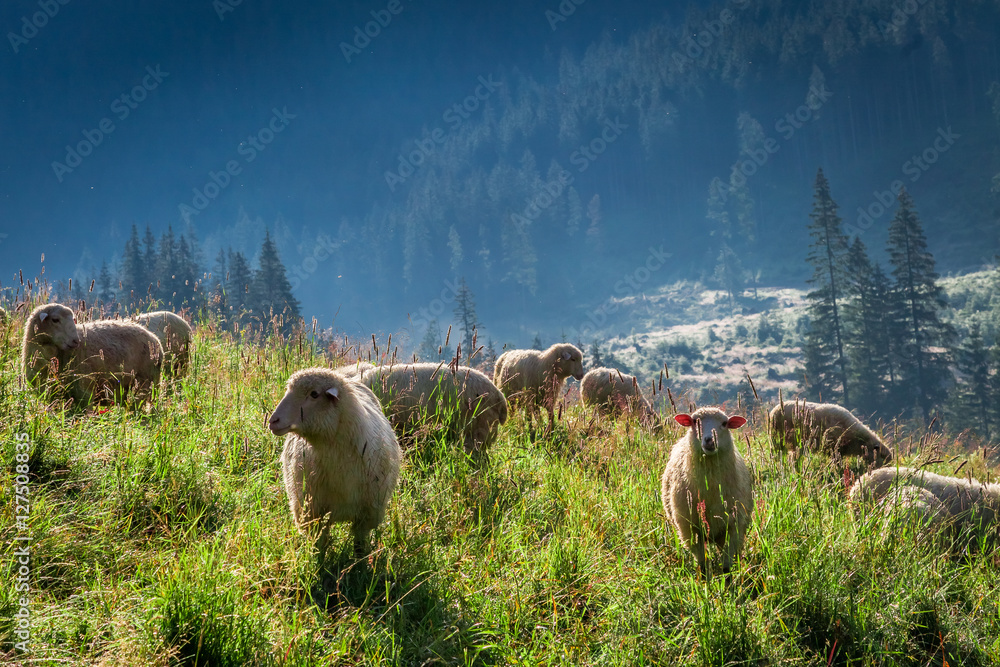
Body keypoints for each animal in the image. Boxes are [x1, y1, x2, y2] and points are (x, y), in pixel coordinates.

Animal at [268, 368, 402, 559]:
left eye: (314, 394)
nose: (273, 421)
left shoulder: (367, 514)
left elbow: (359, 544)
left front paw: (360, 563)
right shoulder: (314, 513)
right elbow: (320, 545)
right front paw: (319, 562)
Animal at [661, 407, 753, 578]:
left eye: (724, 423)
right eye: (694, 421)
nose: (710, 440)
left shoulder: (733, 527)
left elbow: (727, 566)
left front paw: (728, 581)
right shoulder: (690, 530)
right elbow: (702, 564)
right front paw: (705, 581)